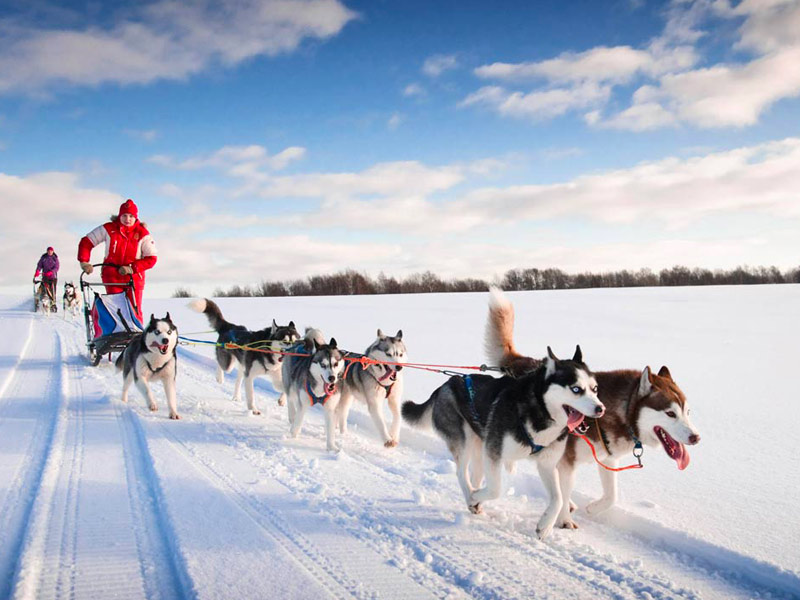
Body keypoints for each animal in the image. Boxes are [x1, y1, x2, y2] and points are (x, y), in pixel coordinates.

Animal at [404, 342, 604, 540]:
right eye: (576, 389)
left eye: (595, 389)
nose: (600, 408)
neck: (539, 412)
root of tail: (445, 385)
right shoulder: (494, 453)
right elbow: (496, 489)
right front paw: (475, 497)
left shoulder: (546, 463)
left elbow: (558, 498)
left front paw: (545, 526)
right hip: (464, 442)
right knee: (461, 473)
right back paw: (471, 496)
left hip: (479, 447)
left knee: (475, 474)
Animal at [482, 284, 700, 528]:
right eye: (670, 413)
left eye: (687, 412)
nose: (695, 437)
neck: (620, 412)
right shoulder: (565, 462)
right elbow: (564, 491)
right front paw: (564, 520)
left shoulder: (608, 459)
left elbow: (612, 496)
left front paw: (593, 508)